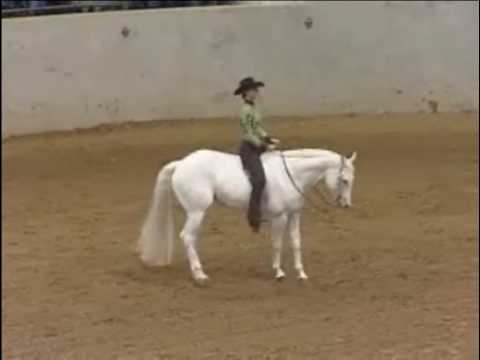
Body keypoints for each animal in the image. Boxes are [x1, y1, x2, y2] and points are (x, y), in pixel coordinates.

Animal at [137, 148, 354, 282]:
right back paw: (200, 275)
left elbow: (296, 242)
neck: (292, 174)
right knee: (187, 237)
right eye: (344, 180)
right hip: (197, 211)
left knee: (192, 238)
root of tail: (181, 163)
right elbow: (277, 243)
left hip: (196, 213)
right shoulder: (280, 217)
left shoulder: (294, 215)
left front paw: (301, 273)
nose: (346, 205)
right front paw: (279, 272)